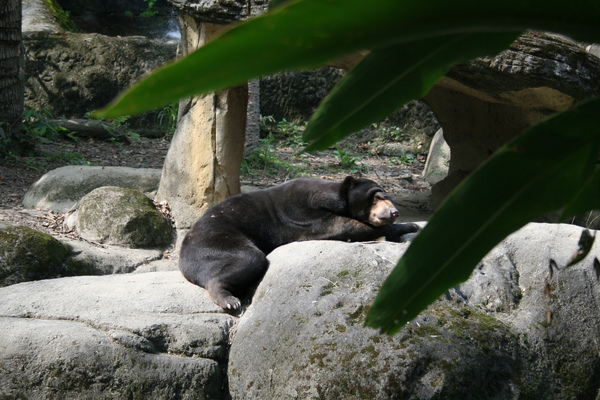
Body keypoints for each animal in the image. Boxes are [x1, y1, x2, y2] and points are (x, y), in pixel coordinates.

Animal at [180, 177, 420, 310]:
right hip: (216, 243)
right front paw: (410, 227)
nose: (394, 212)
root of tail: (183, 258)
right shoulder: (304, 213)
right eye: (377, 197)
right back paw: (230, 300)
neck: (334, 196)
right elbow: (345, 226)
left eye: (387, 197)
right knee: (250, 258)